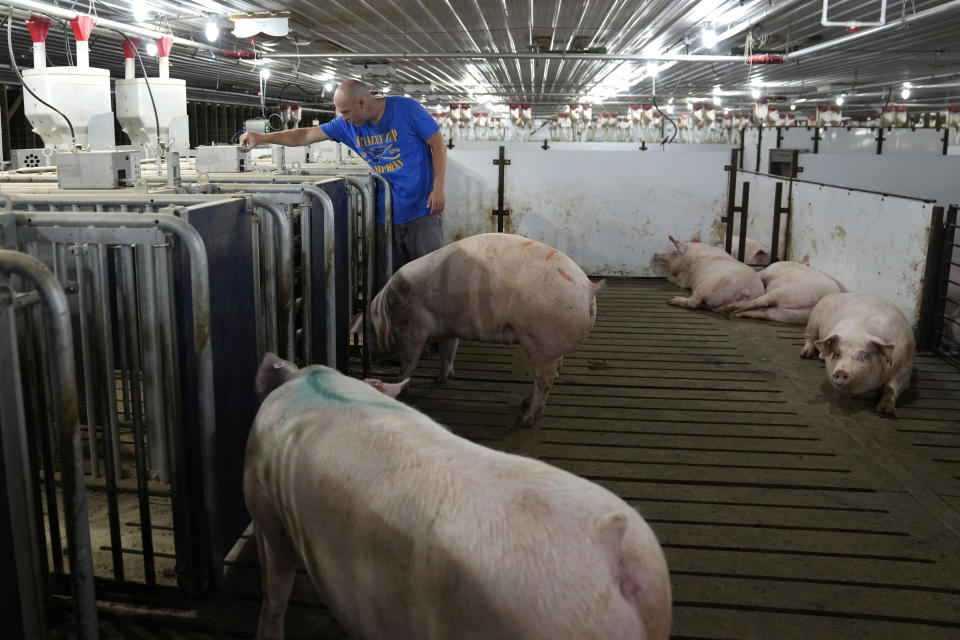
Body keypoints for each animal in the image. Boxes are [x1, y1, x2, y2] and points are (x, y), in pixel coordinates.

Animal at [356, 232, 604, 428]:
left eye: (368, 334)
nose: (365, 356)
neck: (387, 312)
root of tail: (588, 289)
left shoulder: (411, 326)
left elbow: (409, 362)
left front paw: (403, 386)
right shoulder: (448, 327)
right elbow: (448, 352)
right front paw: (441, 380)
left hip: (541, 341)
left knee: (545, 379)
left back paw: (524, 419)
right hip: (551, 345)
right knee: (553, 373)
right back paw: (524, 403)